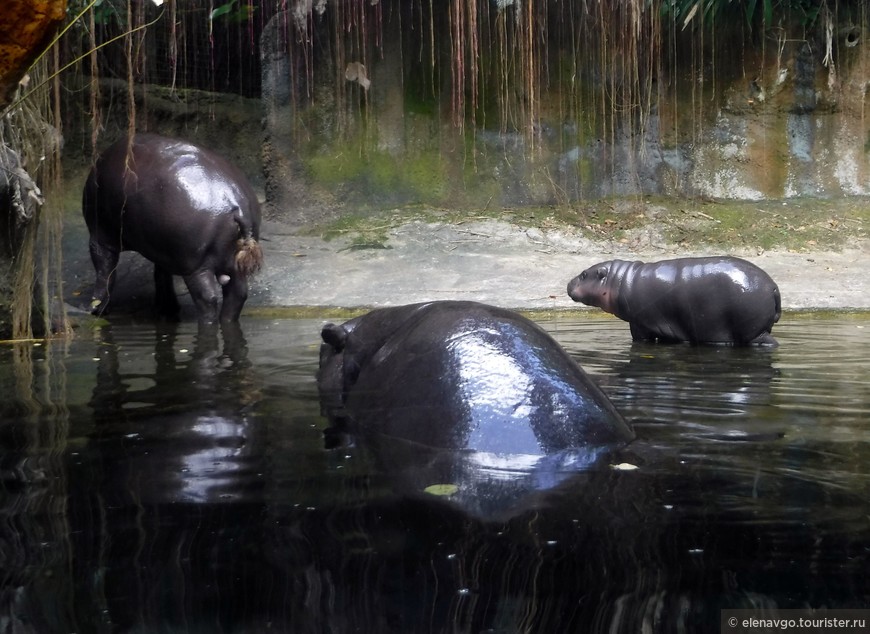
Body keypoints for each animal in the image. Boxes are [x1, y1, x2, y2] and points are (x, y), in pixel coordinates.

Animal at [82, 133, 262, 320]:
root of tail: (238, 205)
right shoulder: (163, 250)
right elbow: (161, 275)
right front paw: (167, 309)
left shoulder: (99, 237)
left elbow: (105, 273)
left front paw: (93, 309)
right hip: (231, 262)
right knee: (237, 294)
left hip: (197, 267)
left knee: (208, 297)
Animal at [564, 256, 784, 346]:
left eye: (584, 274)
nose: (568, 283)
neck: (620, 279)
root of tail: (773, 287)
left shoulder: (639, 322)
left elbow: (639, 339)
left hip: (753, 332)